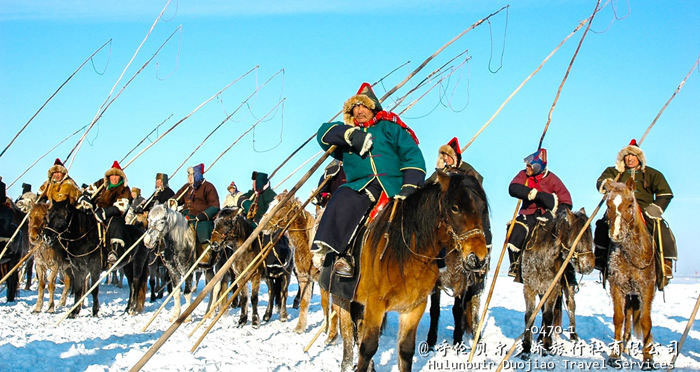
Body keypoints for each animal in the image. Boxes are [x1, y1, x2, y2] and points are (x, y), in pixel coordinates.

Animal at [266, 193, 340, 342]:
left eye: (280, 206)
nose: (263, 223)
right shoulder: (304, 277)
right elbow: (305, 302)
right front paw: (300, 327)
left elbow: (328, 304)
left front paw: (330, 334)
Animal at [340, 171, 486, 372]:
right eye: (455, 208)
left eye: (482, 208)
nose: (478, 258)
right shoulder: (375, 305)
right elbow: (367, 348)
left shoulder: (414, 307)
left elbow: (406, 350)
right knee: (347, 335)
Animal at [516, 208, 592, 358]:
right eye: (579, 236)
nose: (589, 266)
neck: (541, 258)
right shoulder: (529, 288)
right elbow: (529, 315)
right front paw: (526, 348)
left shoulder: (552, 288)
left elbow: (548, 315)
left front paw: (547, 346)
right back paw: (540, 336)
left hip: (568, 286)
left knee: (571, 306)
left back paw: (573, 336)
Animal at [600, 178, 656, 370]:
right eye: (608, 205)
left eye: (630, 203)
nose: (616, 234)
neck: (632, 254)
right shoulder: (617, 286)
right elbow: (618, 318)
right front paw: (614, 355)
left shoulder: (647, 288)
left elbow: (646, 321)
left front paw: (648, 358)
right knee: (628, 316)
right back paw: (625, 345)